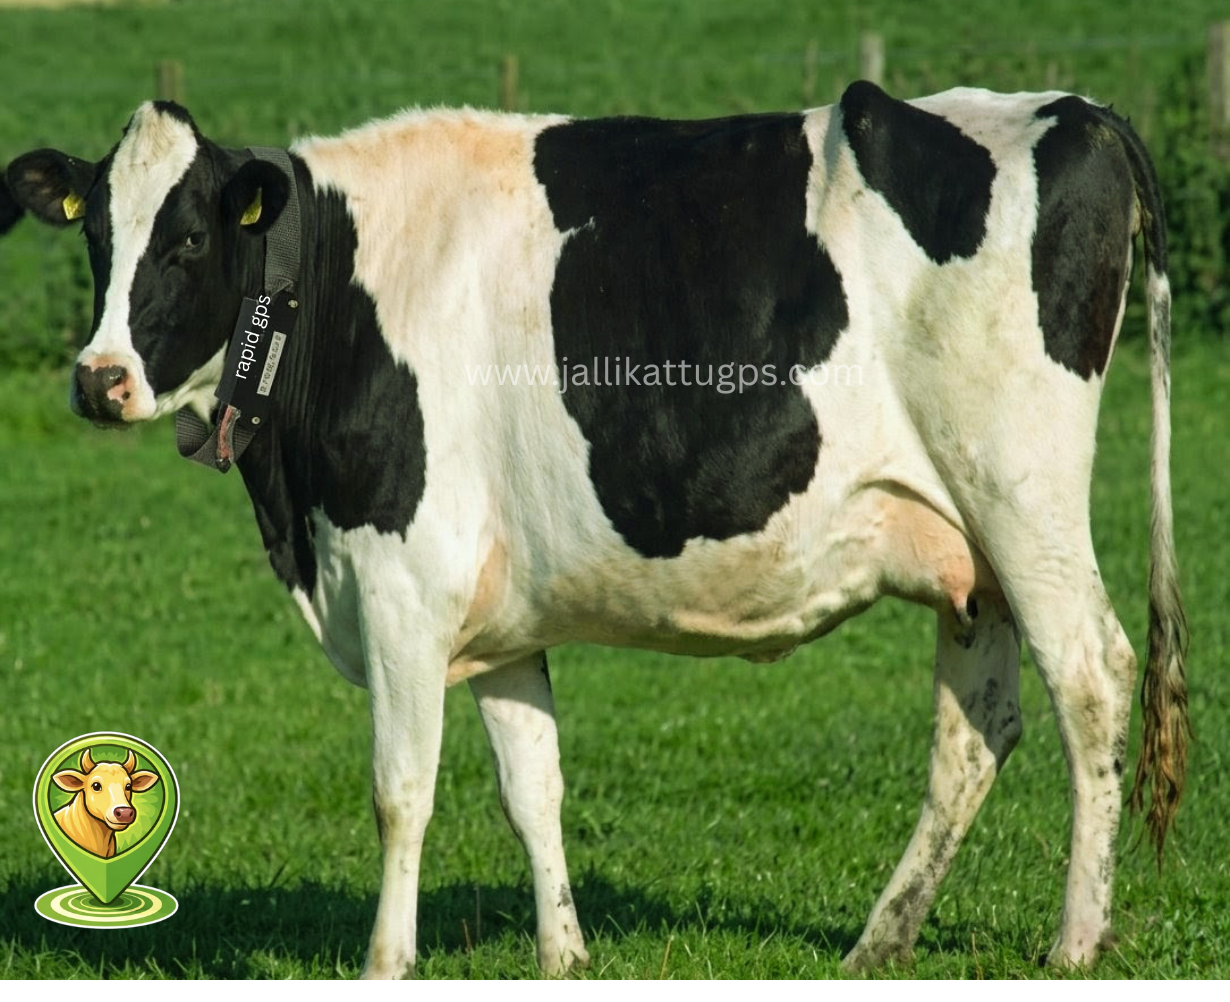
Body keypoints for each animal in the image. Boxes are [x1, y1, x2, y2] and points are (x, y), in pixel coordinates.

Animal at [6, 80, 1188, 976]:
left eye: (186, 239)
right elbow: (534, 787)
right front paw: (564, 955)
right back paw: (879, 941)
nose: (97, 379)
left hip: (1023, 497)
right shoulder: (499, 617)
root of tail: (1064, 107)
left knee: (1092, 678)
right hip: (968, 552)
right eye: (96, 236)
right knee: (975, 732)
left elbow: (400, 790)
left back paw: (1076, 939)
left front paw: (387, 961)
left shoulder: (401, 586)